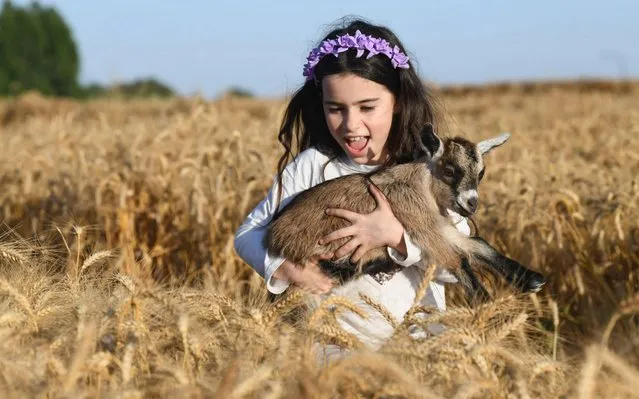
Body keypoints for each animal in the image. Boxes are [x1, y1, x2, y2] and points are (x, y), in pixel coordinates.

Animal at [262, 125, 548, 300]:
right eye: (449, 170)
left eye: (481, 173)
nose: (471, 203)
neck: (420, 184)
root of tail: (274, 236)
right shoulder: (422, 226)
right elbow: (459, 262)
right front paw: (490, 321)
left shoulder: (436, 225)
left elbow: (477, 244)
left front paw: (532, 279)